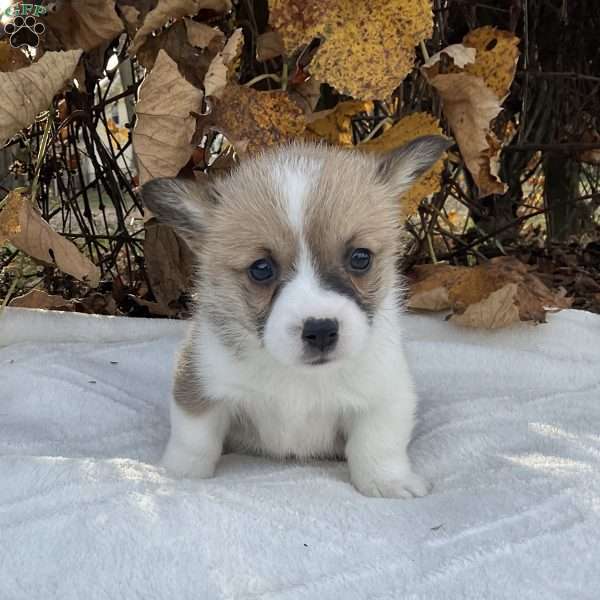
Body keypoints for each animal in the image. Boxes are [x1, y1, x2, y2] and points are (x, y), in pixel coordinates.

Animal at [143, 137, 448, 496]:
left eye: (360, 258)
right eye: (261, 268)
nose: (321, 331)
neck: (299, 376)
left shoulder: (385, 394)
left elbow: (378, 444)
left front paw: (387, 482)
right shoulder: (201, 382)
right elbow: (193, 440)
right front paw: (180, 476)